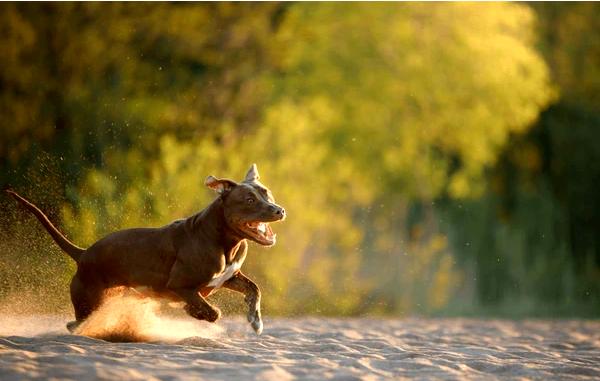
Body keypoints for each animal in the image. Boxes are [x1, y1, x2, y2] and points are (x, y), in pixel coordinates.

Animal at [6, 163, 284, 332]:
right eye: (249, 199)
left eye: (267, 193)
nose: (279, 210)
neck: (223, 240)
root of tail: (83, 254)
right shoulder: (180, 285)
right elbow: (208, 308)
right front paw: (199, 313)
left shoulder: (230, 276)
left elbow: (254, 289)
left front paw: (255, 321)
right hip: (90, 301)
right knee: (76, 324)